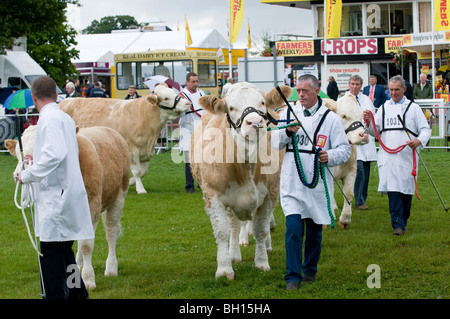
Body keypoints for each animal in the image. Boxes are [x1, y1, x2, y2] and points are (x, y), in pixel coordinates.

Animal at [58, 85, 190, 194]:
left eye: (173, 93)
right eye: (166, 98)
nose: (187, 103)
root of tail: (63, 102)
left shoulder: (146, 152)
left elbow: (143, 171)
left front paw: (130, 182)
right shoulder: (132, 149)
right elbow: (137, 172)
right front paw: (140, 189)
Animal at [191, 82, 292, 280]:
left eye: (262, 102)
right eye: (231, 107)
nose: (255, 123)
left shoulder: (270, 193)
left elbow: (261, 228)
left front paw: (261, 262)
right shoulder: (213, 195)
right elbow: (222, 231)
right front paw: (224, 268)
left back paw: (266, 246)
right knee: (234, 225)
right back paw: (235, 253)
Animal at [324, 95, 370, 230]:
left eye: (361, 115)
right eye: (343, 116)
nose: (363, 136)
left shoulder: (351, 170)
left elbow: (349, 193)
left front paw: (345, 220)